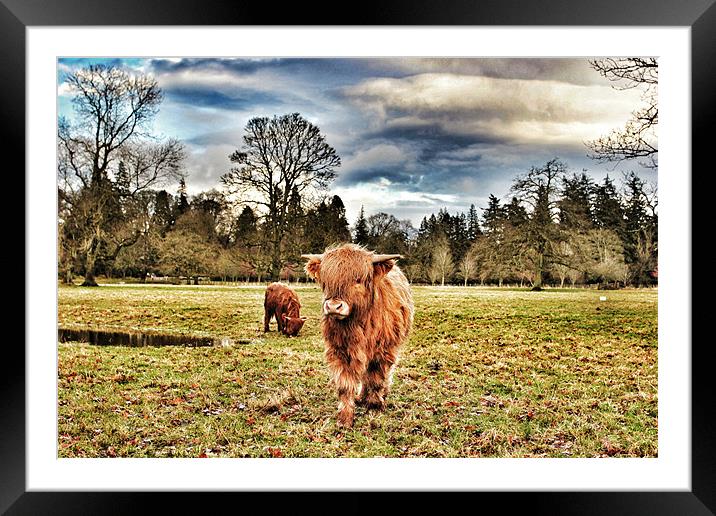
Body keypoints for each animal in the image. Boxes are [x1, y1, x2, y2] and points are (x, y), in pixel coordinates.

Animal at [302, 245, 414, 428]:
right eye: (326, 281)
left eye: (358, 280)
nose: (333, 306)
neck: (356, 323)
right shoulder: (340, 351)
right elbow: (345, 385)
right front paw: (345, 418)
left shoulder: (383, 351)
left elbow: (376, 379)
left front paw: (374, 406)